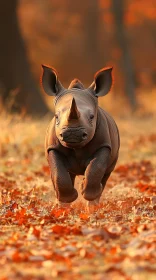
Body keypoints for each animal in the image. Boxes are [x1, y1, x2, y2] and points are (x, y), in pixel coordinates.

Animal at [41, 65, 119, 206]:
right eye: (56, 116)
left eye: (92, 117)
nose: (73, 134)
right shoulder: (52, 147)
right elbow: (58, 173)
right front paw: (68, 199)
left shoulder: (104, 145)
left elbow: (96, 167)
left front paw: (86, 192)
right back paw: (62, 205)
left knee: (106, 174)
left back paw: (93, 203)